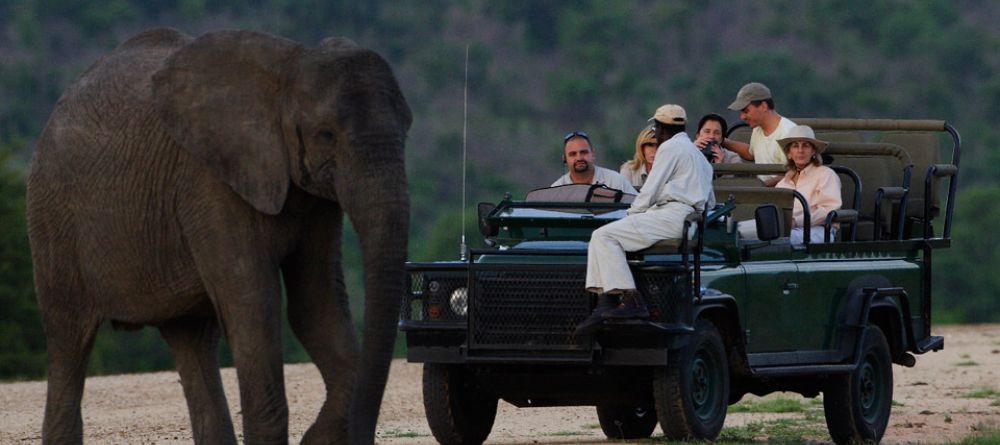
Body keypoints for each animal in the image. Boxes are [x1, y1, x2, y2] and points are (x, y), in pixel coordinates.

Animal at [26, 28, 410, 444]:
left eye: (406, 131)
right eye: (326, 134)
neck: (290, 66)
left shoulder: (314, 200)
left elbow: (315, 303)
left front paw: (314, 440)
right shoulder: (209, 183)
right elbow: (255, 304)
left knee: (193, 341)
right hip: (53, 216)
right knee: (68, 336)